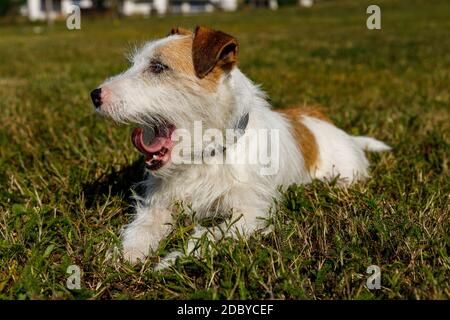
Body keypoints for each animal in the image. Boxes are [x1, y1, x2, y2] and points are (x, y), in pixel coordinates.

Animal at [91, 26, 390, 270]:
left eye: (158, 67)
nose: (94, 95)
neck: (207, 155)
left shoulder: (249, 214)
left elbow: (208, 235)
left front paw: (171, 261)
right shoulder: (158, 206)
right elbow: (141, 230)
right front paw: (124, 255)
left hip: (345, 175)